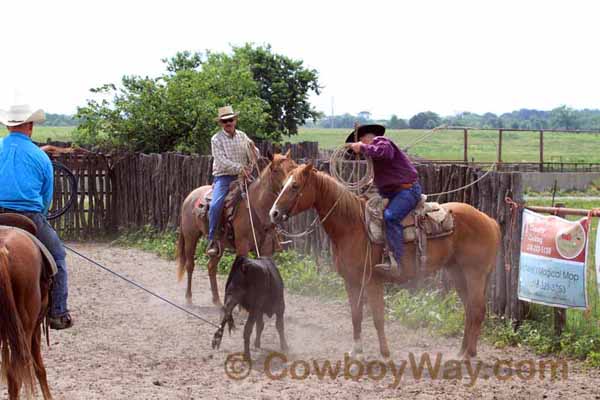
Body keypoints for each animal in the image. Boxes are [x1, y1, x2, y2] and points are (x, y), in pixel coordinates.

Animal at [176, 152, 298, 304]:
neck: (255, 206)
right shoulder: (242, 246)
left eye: (294, 168)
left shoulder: (266, 249)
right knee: (190, 265)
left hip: (220, 246)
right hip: (190, 237)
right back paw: (189, 298)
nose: (290, 189)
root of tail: (189, 196)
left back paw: (217, 301)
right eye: (276, 170)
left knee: (211, 267)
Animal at [270, 164, 502, 358]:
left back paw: (468, 354)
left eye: (295, 186)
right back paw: (462, 352)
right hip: (457, 272)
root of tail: (489, 220)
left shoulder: (373, 281)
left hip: (475, 273)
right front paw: (356, 350)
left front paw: (384, 352)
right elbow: (356, 315)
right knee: (469, 309)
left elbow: (378, 318)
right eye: (283, 185)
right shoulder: (351, 281)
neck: (352, 227)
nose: (274, 213)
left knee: (477, 309)